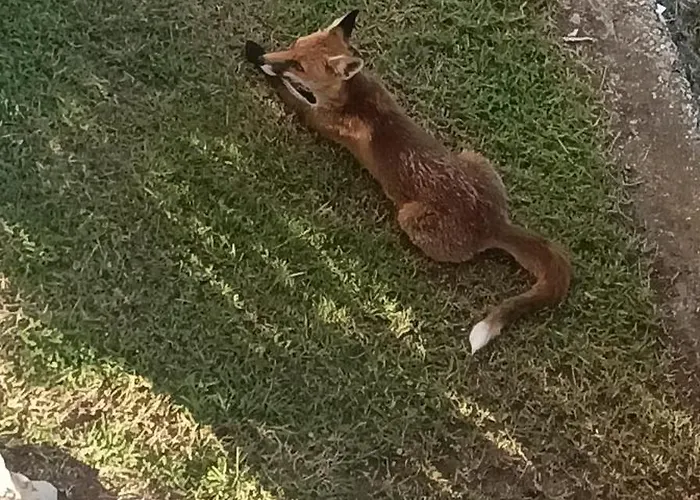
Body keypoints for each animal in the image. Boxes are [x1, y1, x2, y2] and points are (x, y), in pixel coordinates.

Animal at [244, 10, 572, 353]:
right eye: (293, 46)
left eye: (299, 65)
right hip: (473, 155)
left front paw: (257, 59)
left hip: (409, 217)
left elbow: (283, 88)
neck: (355, 97)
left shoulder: (314, 118)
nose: (266, 56)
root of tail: (494, 222)